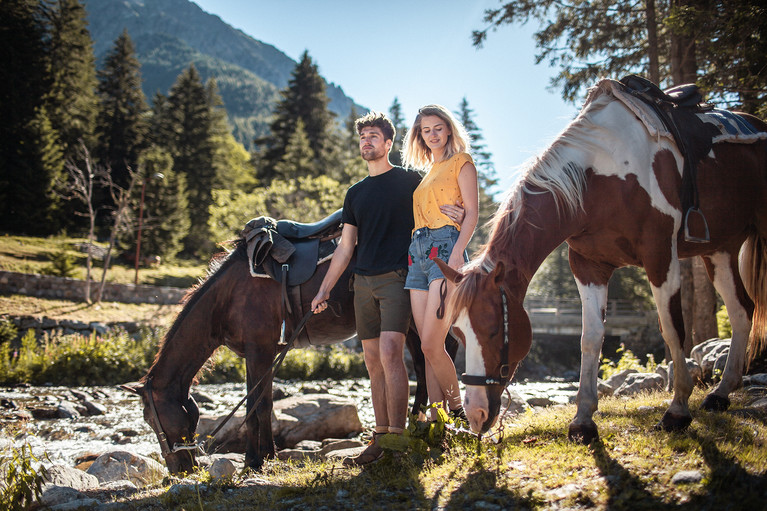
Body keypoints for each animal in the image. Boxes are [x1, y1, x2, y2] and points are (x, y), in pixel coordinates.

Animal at [123, 234, 448, 474]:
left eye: (150, 418)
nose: (178, 470)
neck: (228, 298)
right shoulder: (255, 355)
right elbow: (256, 404)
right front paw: (258, 458)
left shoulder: (261, 352)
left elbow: (259, 406)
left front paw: (259, 459)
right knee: (423, 368)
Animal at [438, 78, 767, 442]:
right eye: (457, 334)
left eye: (494, 330)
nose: (476, 415)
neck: (600, 178)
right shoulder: (588, 266)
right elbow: (590, 338)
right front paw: (583, 420)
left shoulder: (660, 255)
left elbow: (672, 330)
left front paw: (678, 411)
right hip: (720, 250)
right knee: (742, 311)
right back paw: (721, 393)